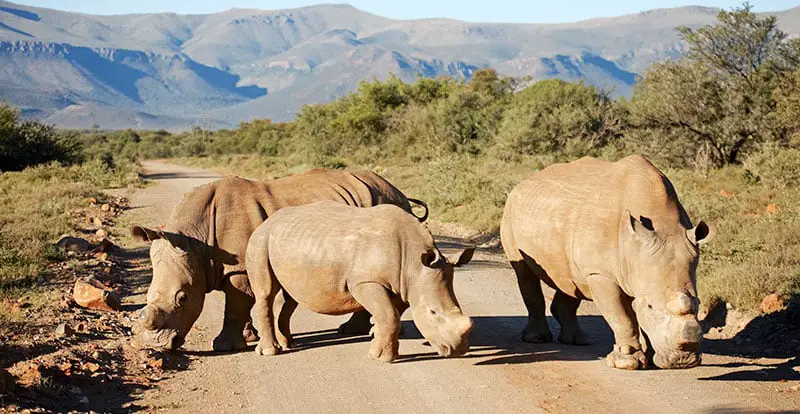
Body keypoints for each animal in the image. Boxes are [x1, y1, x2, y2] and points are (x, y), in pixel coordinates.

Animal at [130, 168, 428, 352]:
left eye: (182, 298)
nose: (154, 346)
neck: (195, 239)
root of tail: (399, 192)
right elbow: (243, 303)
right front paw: (250, 336)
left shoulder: (238, 267)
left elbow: (236, 304)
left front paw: (226, 346)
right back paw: (352, 331)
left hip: (385, 203)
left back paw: (360, 332)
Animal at [245, 201, 476, 362]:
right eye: (432, 313)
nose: (457, 350)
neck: (413, 265)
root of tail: (266, 221)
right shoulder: (366, 281)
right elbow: (389, 315)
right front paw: (381, 358)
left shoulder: (402, 285)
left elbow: (390, 315)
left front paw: (378, 349)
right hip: (260, 240)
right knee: (265, 292)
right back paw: (271, 351)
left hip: (289, 242)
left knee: (291, 296)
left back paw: (289, 344)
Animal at [500, 154, 712, 368]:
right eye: (650, 306)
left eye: (699, 303)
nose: (683, 361)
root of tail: (524, 182)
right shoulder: (601, 273)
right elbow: (622, 317)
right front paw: (627, 362)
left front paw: (651, 357)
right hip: (510, 213)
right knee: (525, 274)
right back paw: (537, 339)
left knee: (571, 281)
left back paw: (577, 340)